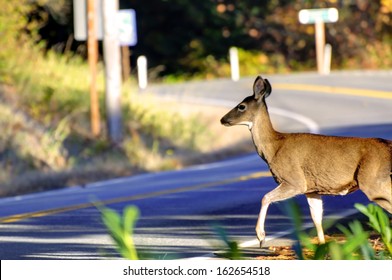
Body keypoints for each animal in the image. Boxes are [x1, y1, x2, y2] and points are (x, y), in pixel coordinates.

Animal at [220, 75, 392, 246]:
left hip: (373, 181)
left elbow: (265, 197)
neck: (274, 147)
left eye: (241, 106)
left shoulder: (295, 180)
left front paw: (261, 236)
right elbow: (317, 219)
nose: (222, 119)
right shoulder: (312, 189)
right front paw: (322, 246)